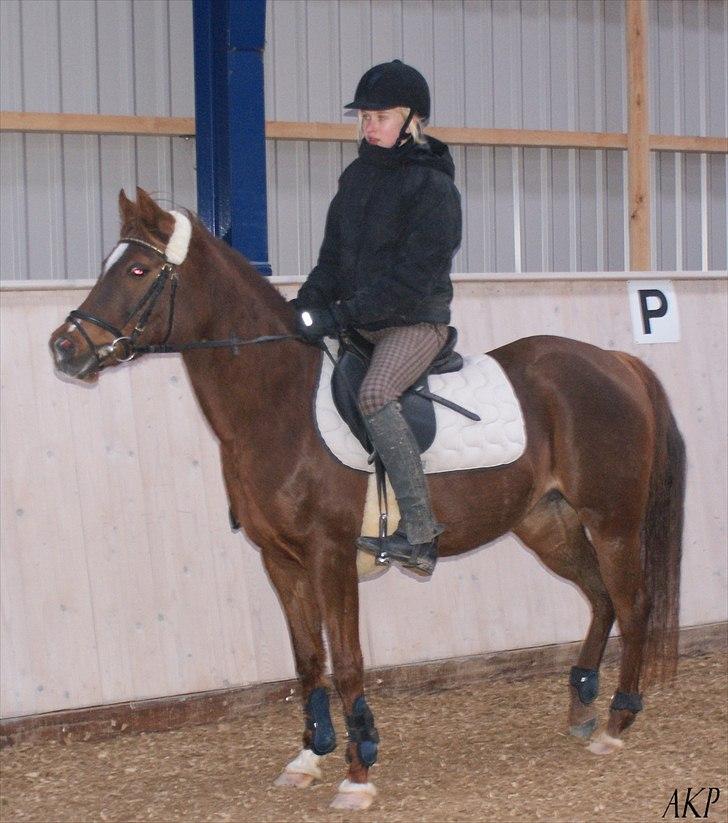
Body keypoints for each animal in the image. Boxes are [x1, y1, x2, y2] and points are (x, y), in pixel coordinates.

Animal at [48, 190, 684, 816]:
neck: (278, 404)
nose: (63, 347)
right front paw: (309, 757)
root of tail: (616, 361)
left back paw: (617, 723)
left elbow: (348, 661)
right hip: (547, 523)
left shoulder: (330, 555)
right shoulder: (280, 560)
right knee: (600, 598)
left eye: (137, 269)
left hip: (613, 521)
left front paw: (358, 773)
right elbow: (308, 659)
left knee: (633, 604)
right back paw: (581, 707)